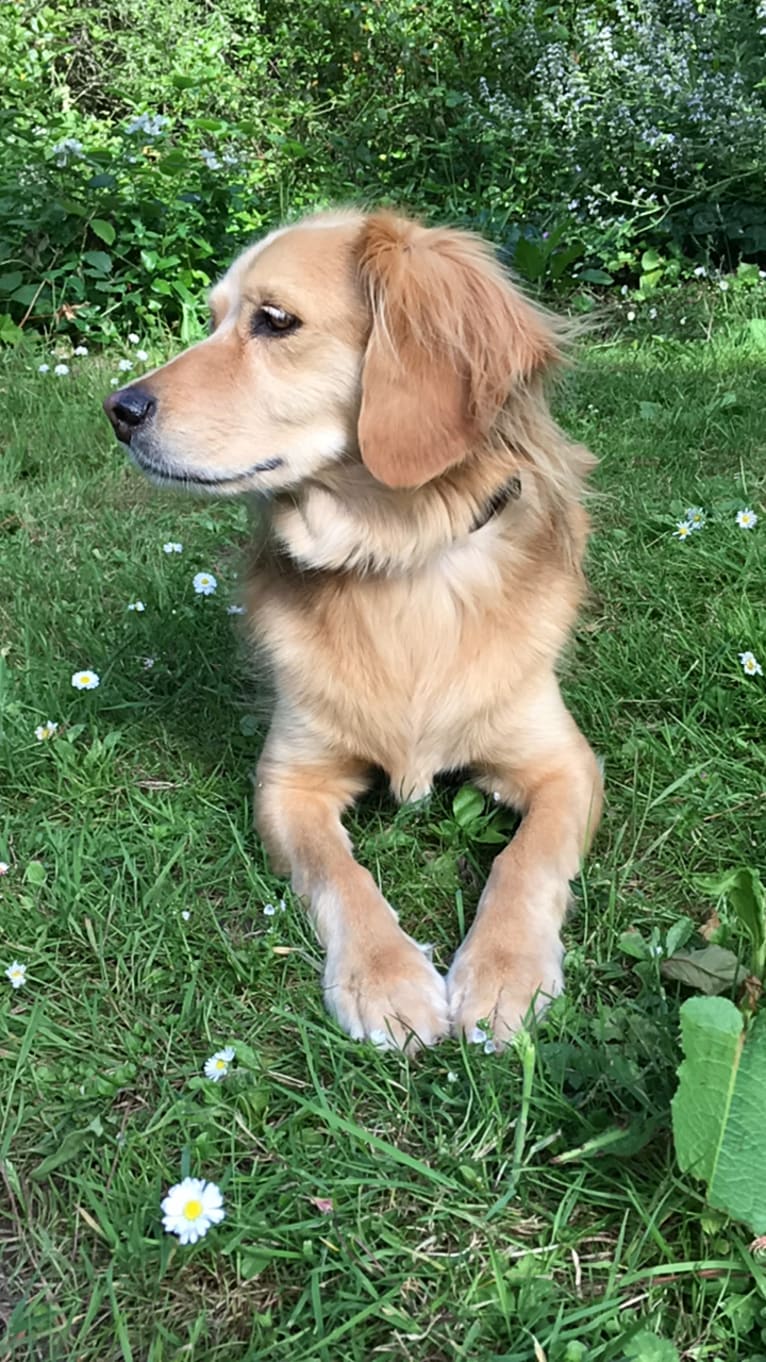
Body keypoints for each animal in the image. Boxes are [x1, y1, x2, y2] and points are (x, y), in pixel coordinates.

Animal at [102, 207, 602, 1051]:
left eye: (275, 321)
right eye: (213, 318)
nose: (118, 409)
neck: (395, 565)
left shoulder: (566, 765)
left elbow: (525, 860)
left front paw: (504, 972)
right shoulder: (289, 781)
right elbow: (340, 874)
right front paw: (386, 977)